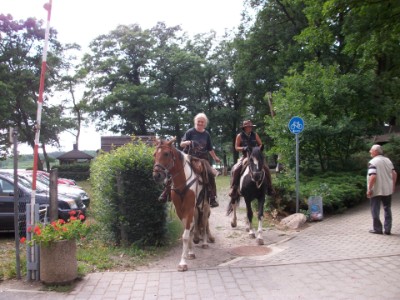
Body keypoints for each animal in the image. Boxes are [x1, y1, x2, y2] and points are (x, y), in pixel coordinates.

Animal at [153, 138, 216, 272]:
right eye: (154, 155)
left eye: (166, 154)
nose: (157, 175)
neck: (182, 182)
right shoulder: (180, 210)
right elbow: (188, 232)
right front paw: (190, 253)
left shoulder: (189, 209)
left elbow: (186, 235)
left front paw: (182, 263)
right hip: (196, 208)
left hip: (205, 206)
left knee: (204, 222)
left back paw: (204, 242)